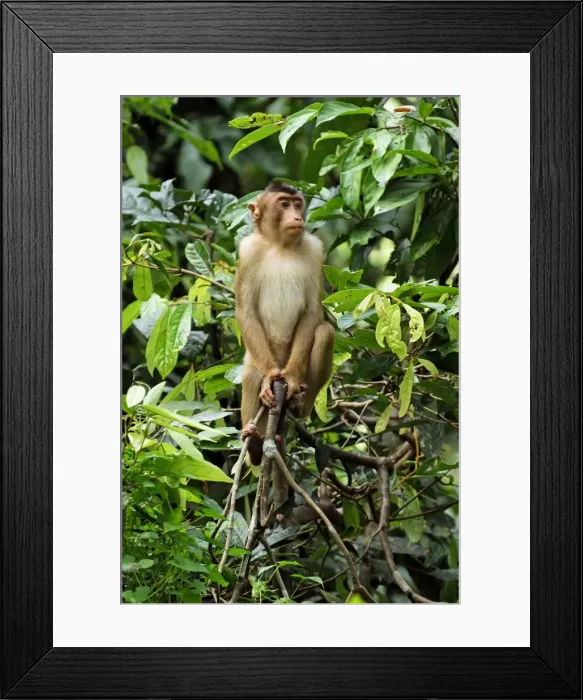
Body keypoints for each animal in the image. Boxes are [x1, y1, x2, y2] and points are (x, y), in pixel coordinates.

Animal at [235, 182, 335, 470]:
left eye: (298, 204)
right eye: (284, 204)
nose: (297, 217)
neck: (280, 245)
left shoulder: (315, 250)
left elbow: (312, 312)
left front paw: (289, 379)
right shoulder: (248, 251)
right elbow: (247, 311)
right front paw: (270, 377)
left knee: (324, 332)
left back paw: (298, 404)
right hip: (257, 357)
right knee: (251, 375)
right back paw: (255, 448)